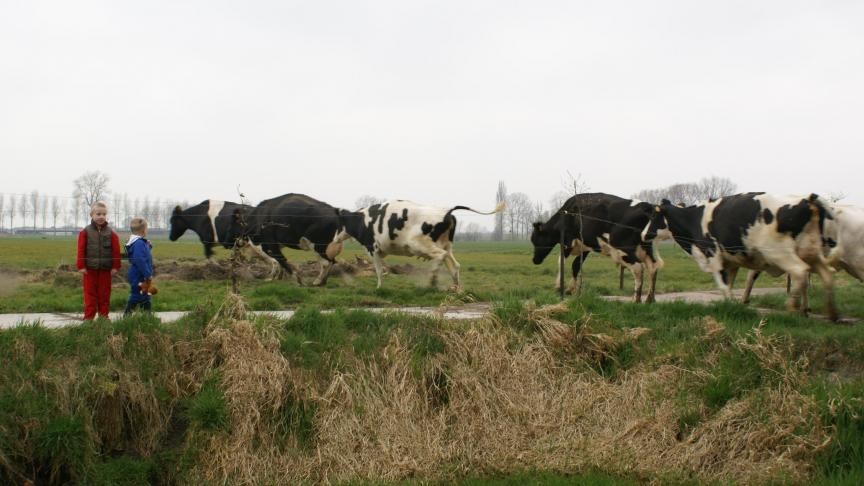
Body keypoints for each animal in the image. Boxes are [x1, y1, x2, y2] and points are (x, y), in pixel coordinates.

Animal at [336, 200, 506, 290]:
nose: (335, 239)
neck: (362, 220)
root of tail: (447, 211)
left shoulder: (372, 249)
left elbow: (378, 270)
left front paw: (379, 287)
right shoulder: (380, 251)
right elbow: (382, 268)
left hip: (421, 245)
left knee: (440, 257)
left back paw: (432, 281)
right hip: (446, 246)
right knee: (455, 265)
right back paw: (455, 288)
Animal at [530, 193, 663, 303]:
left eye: (535, 240)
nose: (535, 260)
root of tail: (647, 207)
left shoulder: (568, 241)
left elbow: (561, 262)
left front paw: (559, 286)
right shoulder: (585, 247)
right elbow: (576, 266)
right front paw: (572, 289)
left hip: (623, 248)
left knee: (638, 268)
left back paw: (636, 299)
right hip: (645, 247)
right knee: (653, 266)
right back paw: (650, 299)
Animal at [644, 192, 838, 320]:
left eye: (654, 215)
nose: (644, 234)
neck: (694, 219)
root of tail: (807, 200)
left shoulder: (713, 256)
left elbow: (723, 286)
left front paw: (730, 305)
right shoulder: (731, 262)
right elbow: (729, 284)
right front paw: (730, 305)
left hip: (780, 253)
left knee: (800, 272)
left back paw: (792, 308)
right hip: (811, 252)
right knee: (826, 274)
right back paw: (830, 313)